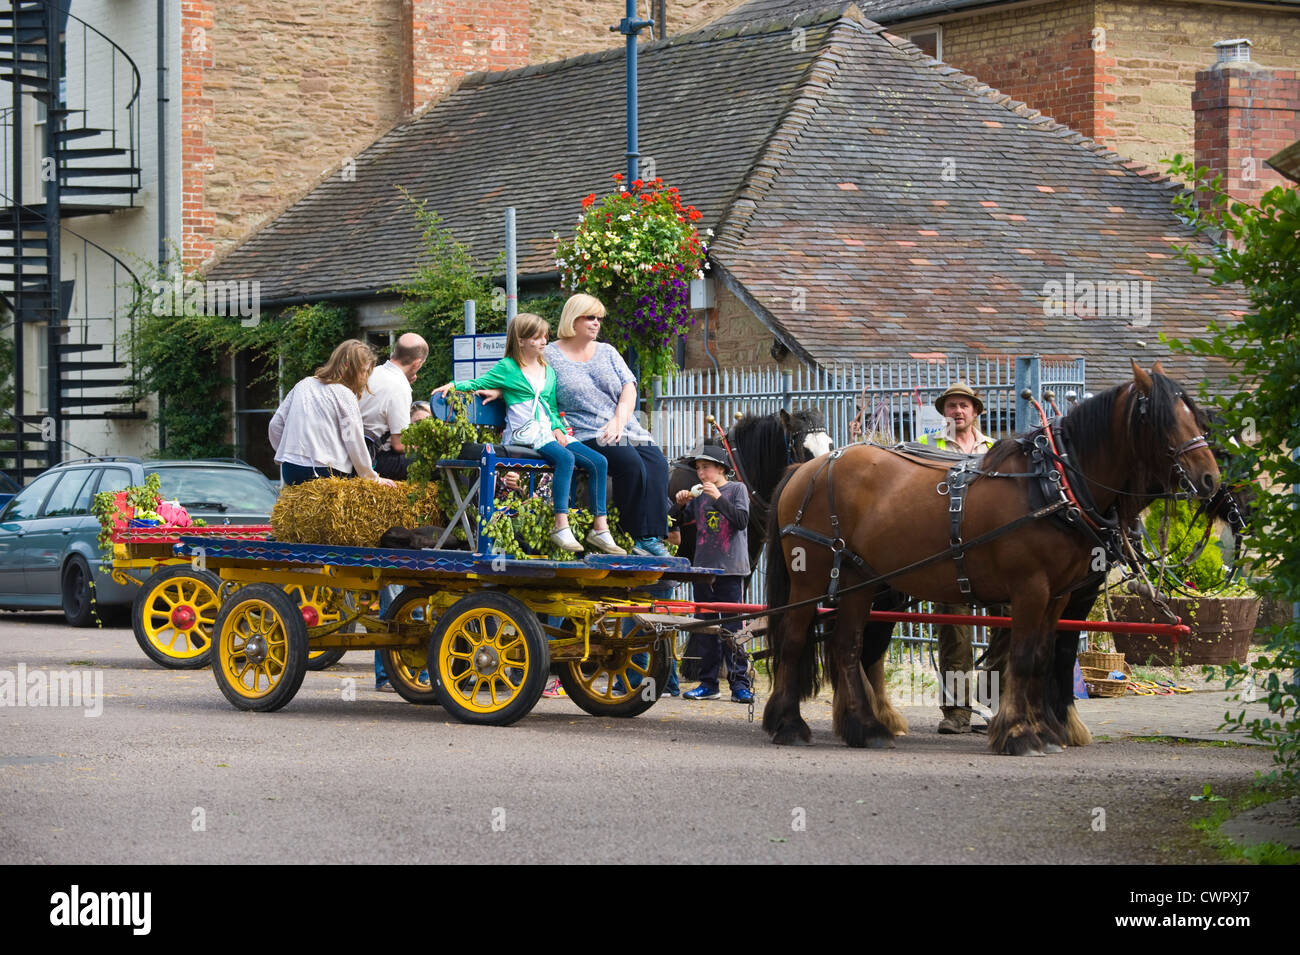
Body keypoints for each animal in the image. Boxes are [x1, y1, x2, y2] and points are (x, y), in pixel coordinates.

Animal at [761, 361, 1220, 756]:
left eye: (1198, 419)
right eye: (1161, 419)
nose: (1210, 479)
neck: (1052, 486)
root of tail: (808, 469)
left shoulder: (1058, 595)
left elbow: (1043, 656)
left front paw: (1044, 729)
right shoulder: (1031, 588)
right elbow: (1025, 656)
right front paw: (1021, 735)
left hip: (860, 581)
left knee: (848, 646)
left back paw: (865, 727)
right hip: (811, 578)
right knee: (795, 639)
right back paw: (789, 724)